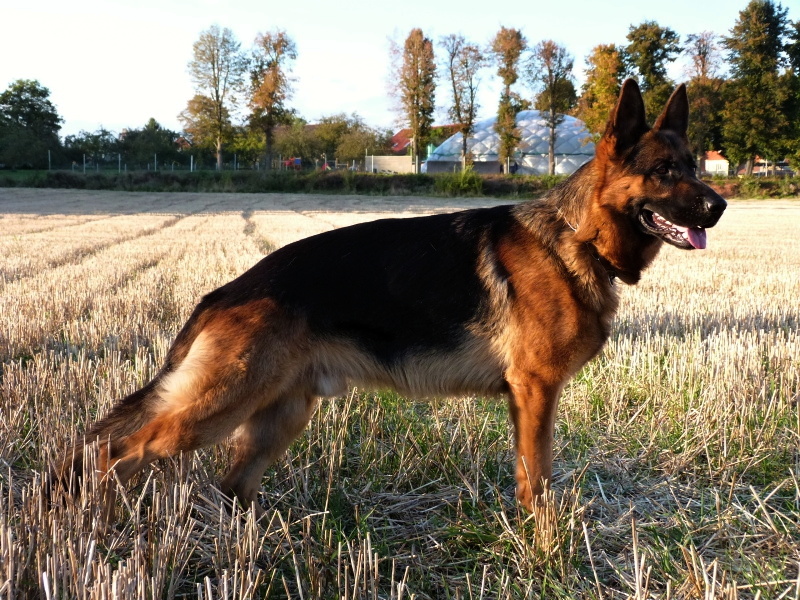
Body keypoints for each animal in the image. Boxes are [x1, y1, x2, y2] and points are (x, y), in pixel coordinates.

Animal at [54, 80, 726, 517]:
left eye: (695, 165)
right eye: (664, 172)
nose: (719, 206)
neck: (575, 236)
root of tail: (226, 291)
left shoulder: (528, 399)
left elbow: (530, 477)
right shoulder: (535, 391)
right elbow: (538, 482)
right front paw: (545, 546)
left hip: (280, 415)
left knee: (229, 486)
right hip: (217, 407)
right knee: (113, 455)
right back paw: (94, 526)